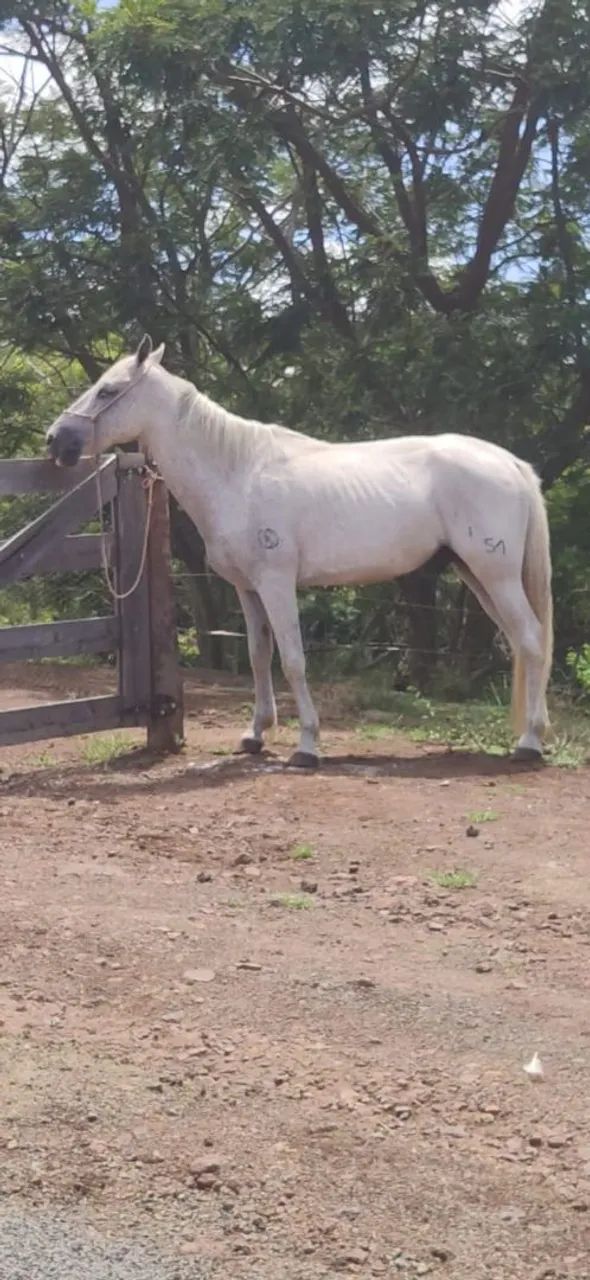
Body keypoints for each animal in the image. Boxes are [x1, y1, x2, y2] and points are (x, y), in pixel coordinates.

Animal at [46, 335, 553, 768]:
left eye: (108, 390)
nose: (56, 440)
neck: (237, 474)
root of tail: (510, 462)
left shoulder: (276, 583)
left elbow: (292, 659)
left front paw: (307, 745)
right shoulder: (248, 589)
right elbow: (258, 655)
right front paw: (255, 735)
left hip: (496, 575)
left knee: (531, 639)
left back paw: (529, 743)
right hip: (475, 574)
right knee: (521, 642)